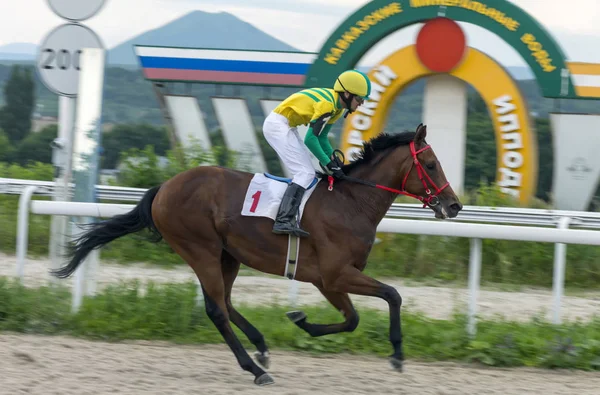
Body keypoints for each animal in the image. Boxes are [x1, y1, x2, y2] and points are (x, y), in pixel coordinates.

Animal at [51, 124, 464, 386]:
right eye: (430, 164)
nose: (454, 205)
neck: (351, 202)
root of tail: (164, 187)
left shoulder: (328, 280)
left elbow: (353, 319)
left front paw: (301, 321)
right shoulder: (333, 274)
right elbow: (391, 295)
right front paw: (397, 354)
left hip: (228, 255)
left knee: (226, 303)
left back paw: (262, 348)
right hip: (200, 248)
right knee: (216, 309)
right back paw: (255, 368)